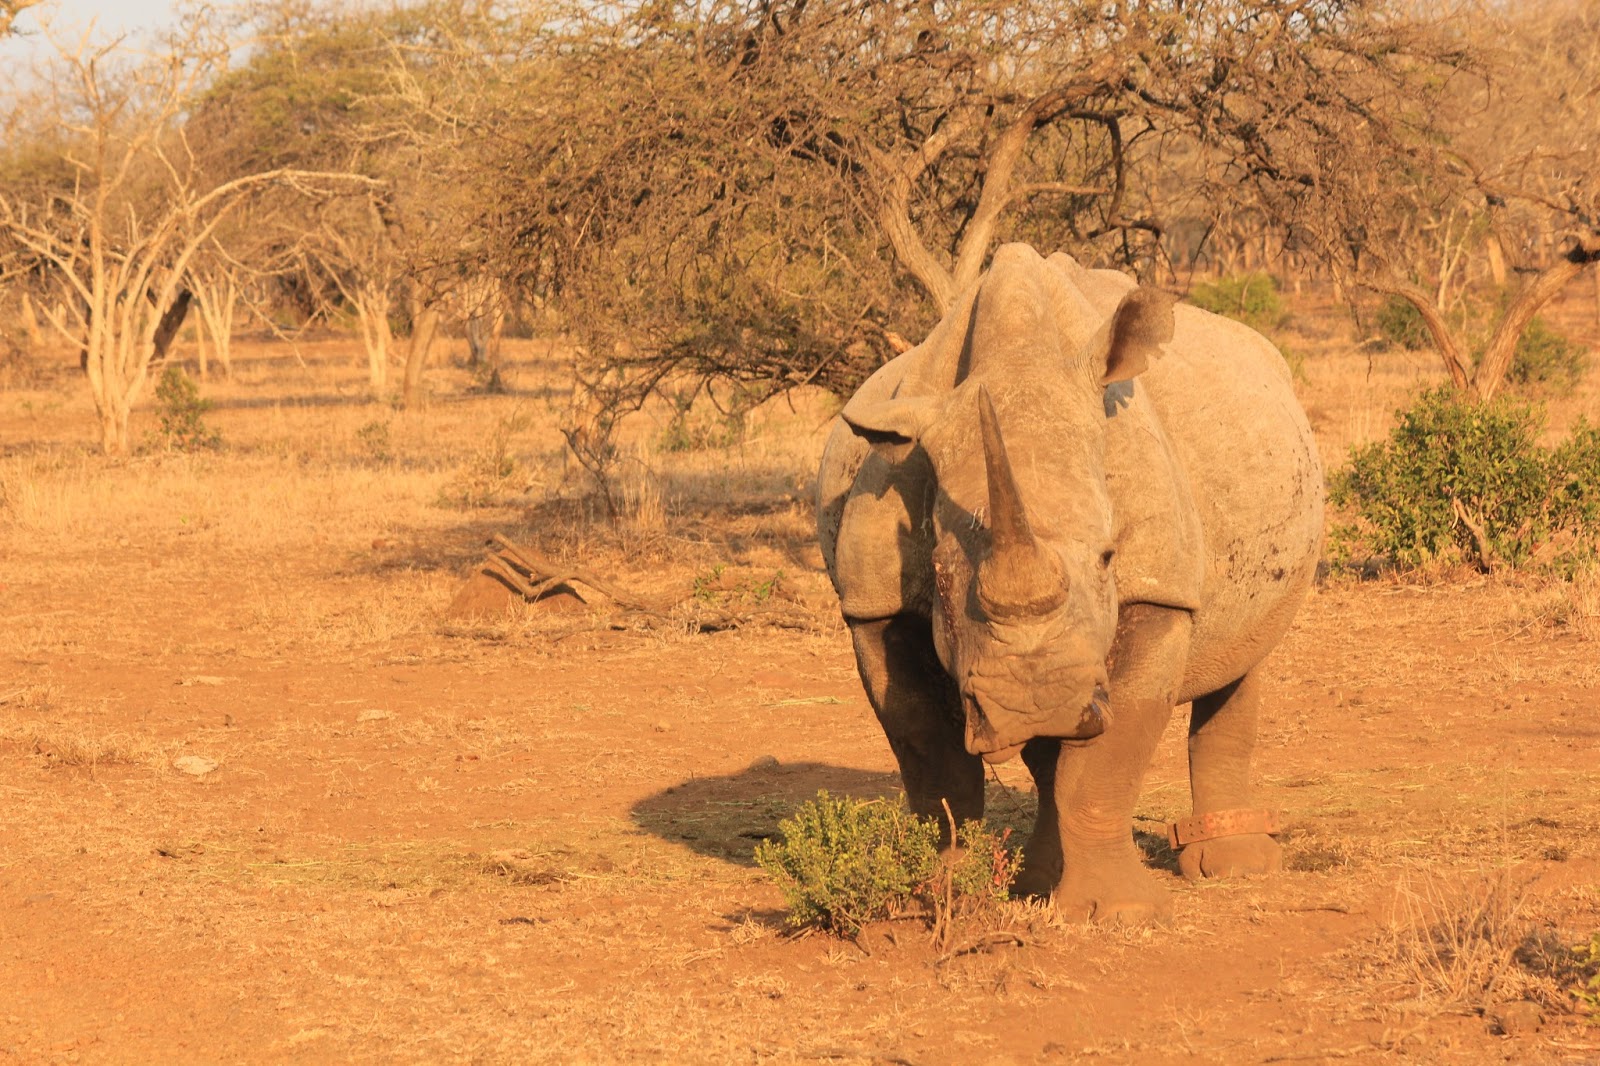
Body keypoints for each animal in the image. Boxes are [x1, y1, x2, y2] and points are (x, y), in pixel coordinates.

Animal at [817, 243, 1323, 922]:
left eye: (1109, 557)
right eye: (942, 577)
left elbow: (1107, 760)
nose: (1037, 702)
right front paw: (940, 899)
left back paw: (1235, 868)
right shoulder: (873, 603)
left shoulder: (1159, 590)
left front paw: (1122, 912)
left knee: (1242, 656)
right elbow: (932, 758)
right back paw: (1038, 881)